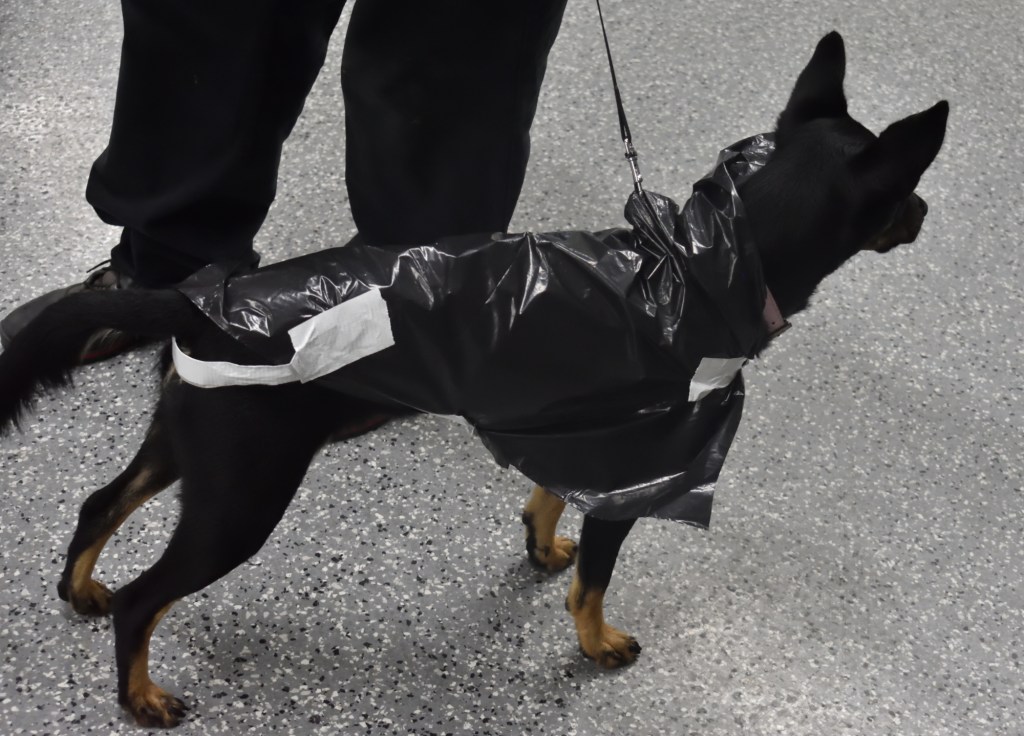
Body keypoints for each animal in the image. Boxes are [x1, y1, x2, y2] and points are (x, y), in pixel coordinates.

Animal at [0, 32, 947, 727]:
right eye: (906, 192)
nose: (928, 212)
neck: (696, 262)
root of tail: (200, 306)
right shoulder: (642, 464)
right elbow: (596, 581)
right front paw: (595, 643)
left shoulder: (583, 434)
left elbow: (548, 502)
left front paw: (540, 548)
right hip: (243, 498)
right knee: (145, 599)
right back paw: (139, 695)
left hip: (191, 447)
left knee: (99, 505)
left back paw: (80, 589)